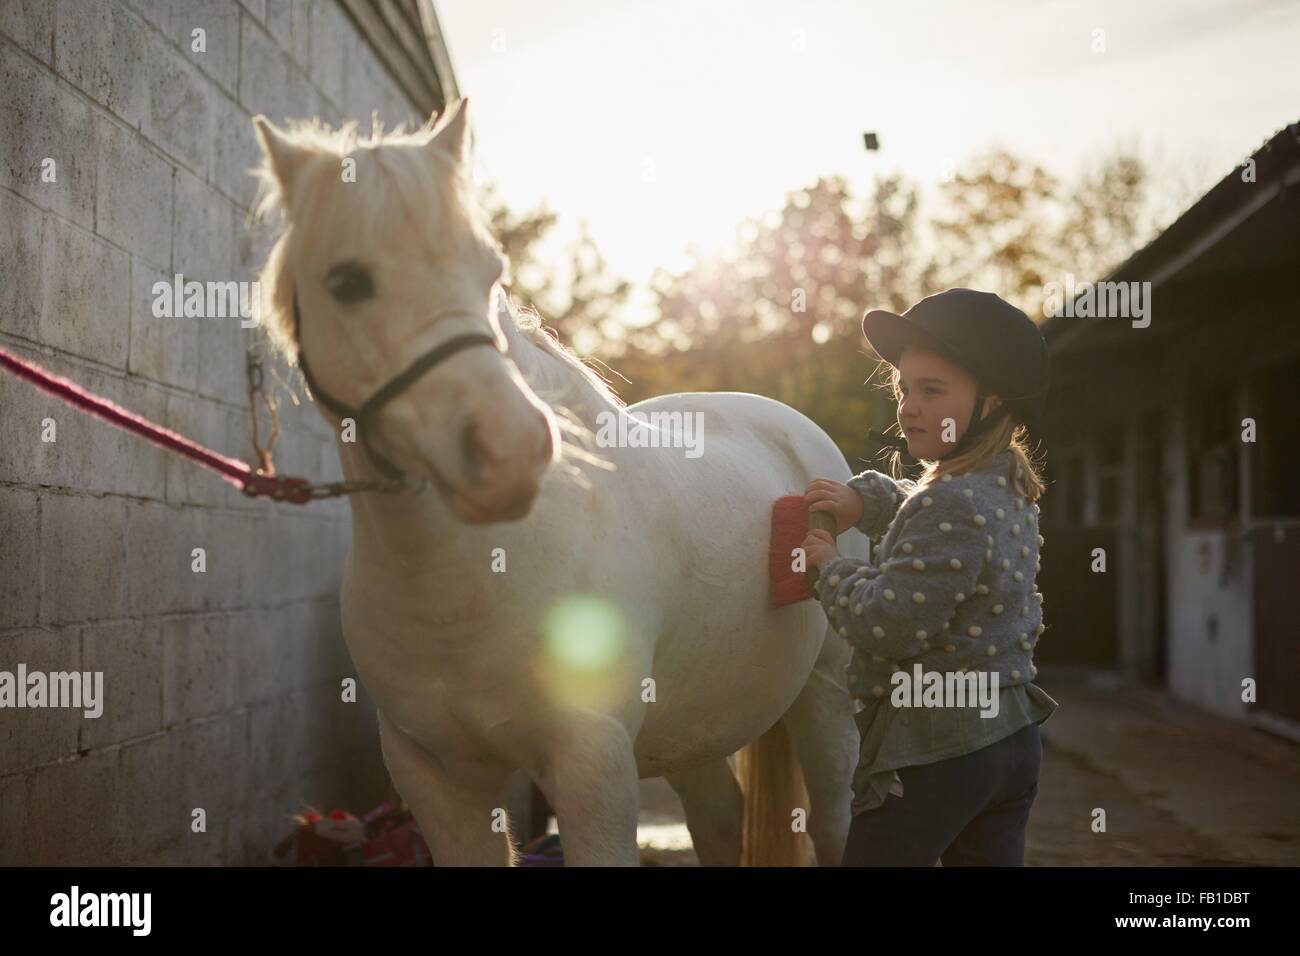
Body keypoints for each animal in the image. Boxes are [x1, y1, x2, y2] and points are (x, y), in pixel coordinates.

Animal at [249, 98, 868, 868]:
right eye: (347, 282)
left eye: (489, 271)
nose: (511, 449)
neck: (469, 583)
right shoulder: (437, 781)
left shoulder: (591, 768)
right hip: (695, 732)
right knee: (720, 818)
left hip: (826, 698)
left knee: (834, 822)